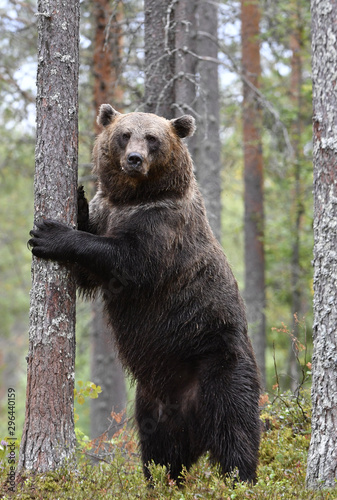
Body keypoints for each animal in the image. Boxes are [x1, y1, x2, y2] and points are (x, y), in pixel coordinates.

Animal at [28, 104, 260, 484]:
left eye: (152, 138)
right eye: (125, 135)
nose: (134, 159)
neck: (135, 197)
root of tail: (189, 411)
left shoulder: (163, 229)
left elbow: (128, 260)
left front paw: (50, 234)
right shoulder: (110, 210)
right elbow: (89, 270)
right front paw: (77, 199)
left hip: (220, 362)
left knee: (235, 429)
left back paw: (240, 479)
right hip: (152, 402)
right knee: (159, 451)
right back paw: (163, 481)